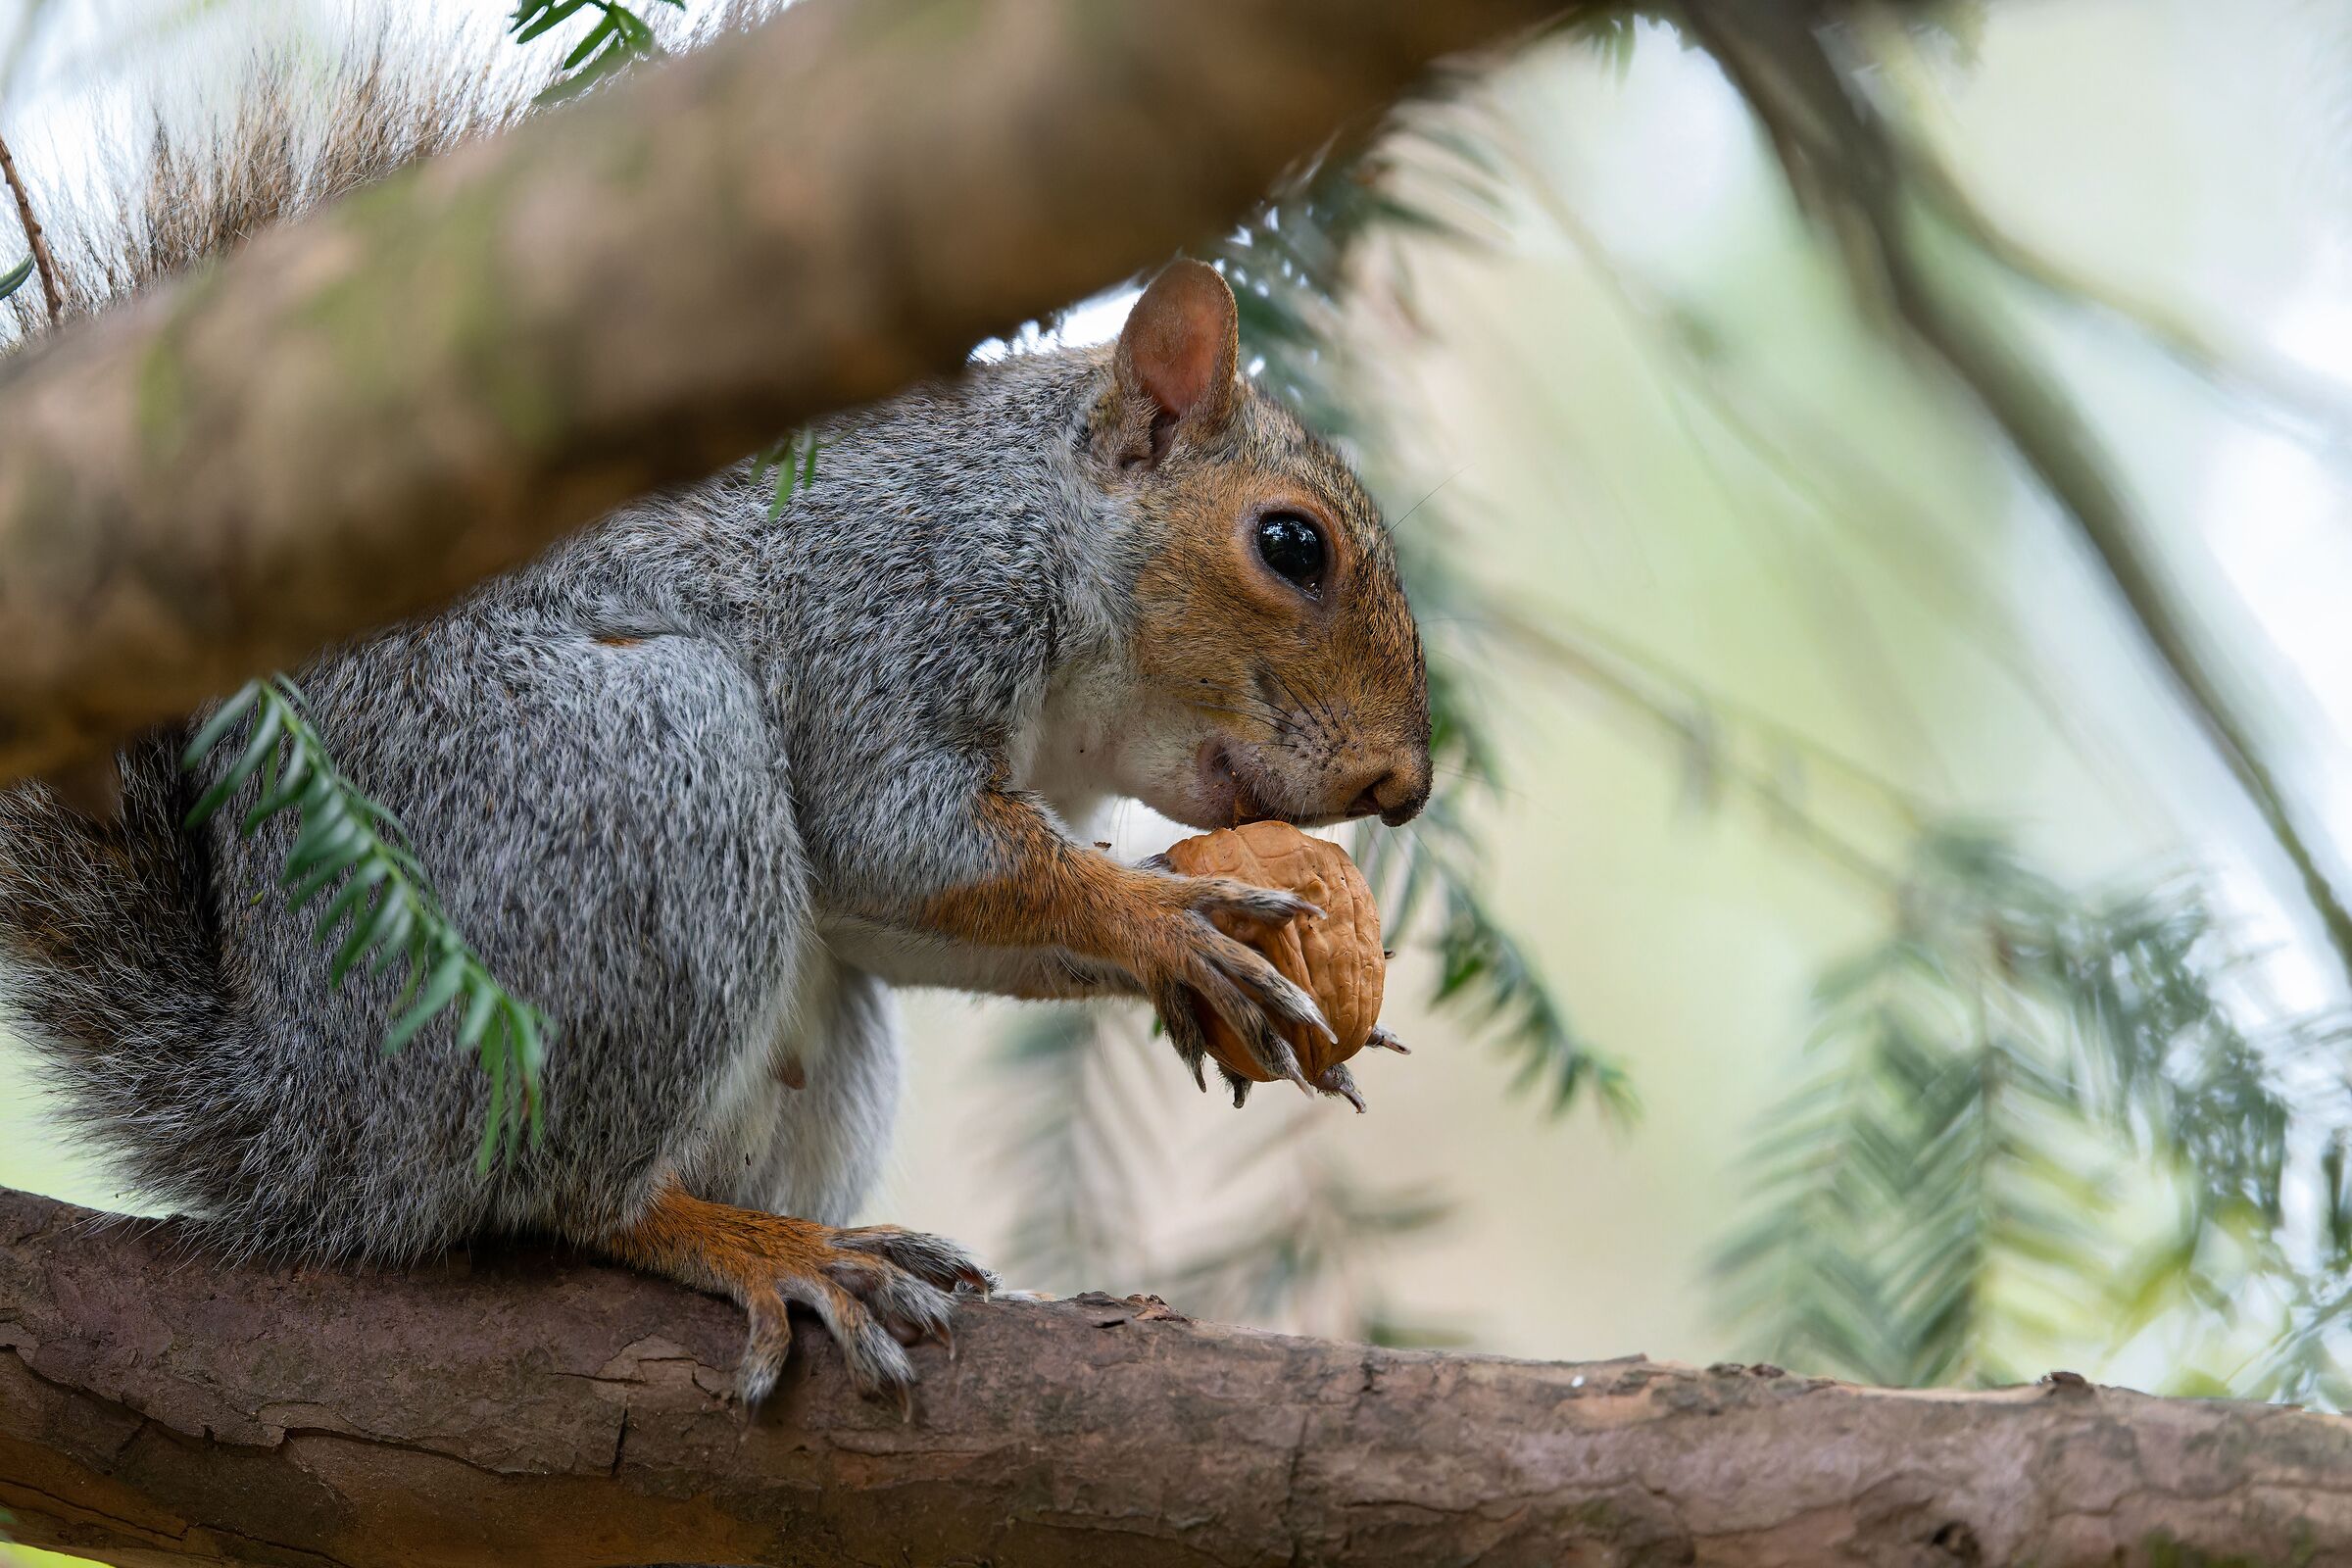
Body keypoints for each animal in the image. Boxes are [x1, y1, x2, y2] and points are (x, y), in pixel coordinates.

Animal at [0, 45, 1432, 1406]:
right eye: (1291, 544)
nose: (1404, 787)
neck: (1041, 524)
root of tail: (314, 1115)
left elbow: (895, 910)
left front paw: (1192, 972)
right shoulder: (893, 605)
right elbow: (894, 834)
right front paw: (1168, 921)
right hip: (636, 793)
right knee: (573, 1199)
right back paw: (767, 1251)